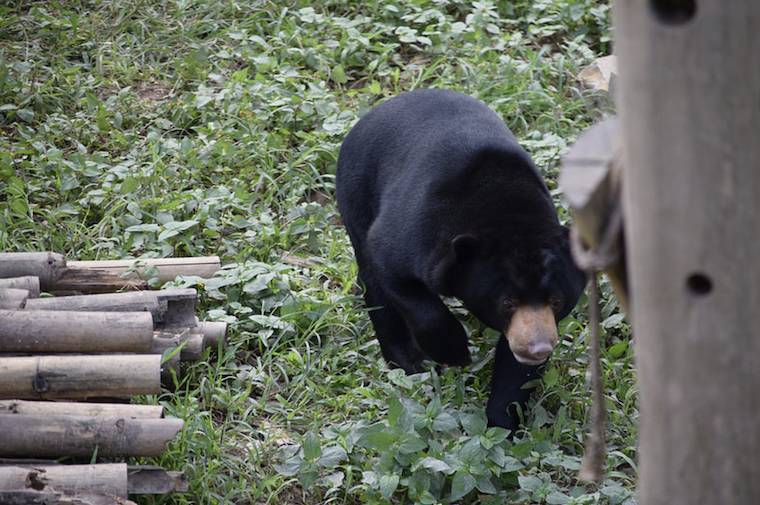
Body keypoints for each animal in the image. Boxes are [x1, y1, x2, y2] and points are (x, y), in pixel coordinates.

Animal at [335, 89, 586, 431]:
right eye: (506, 302)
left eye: (556, 301)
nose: (538, 348)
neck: (506, 215)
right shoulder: (415, 232)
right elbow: (393, 270)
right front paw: (453, 352)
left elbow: (514, 369)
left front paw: (500, 424)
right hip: (358, 192)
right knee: (374, 285)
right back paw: (408, 362)